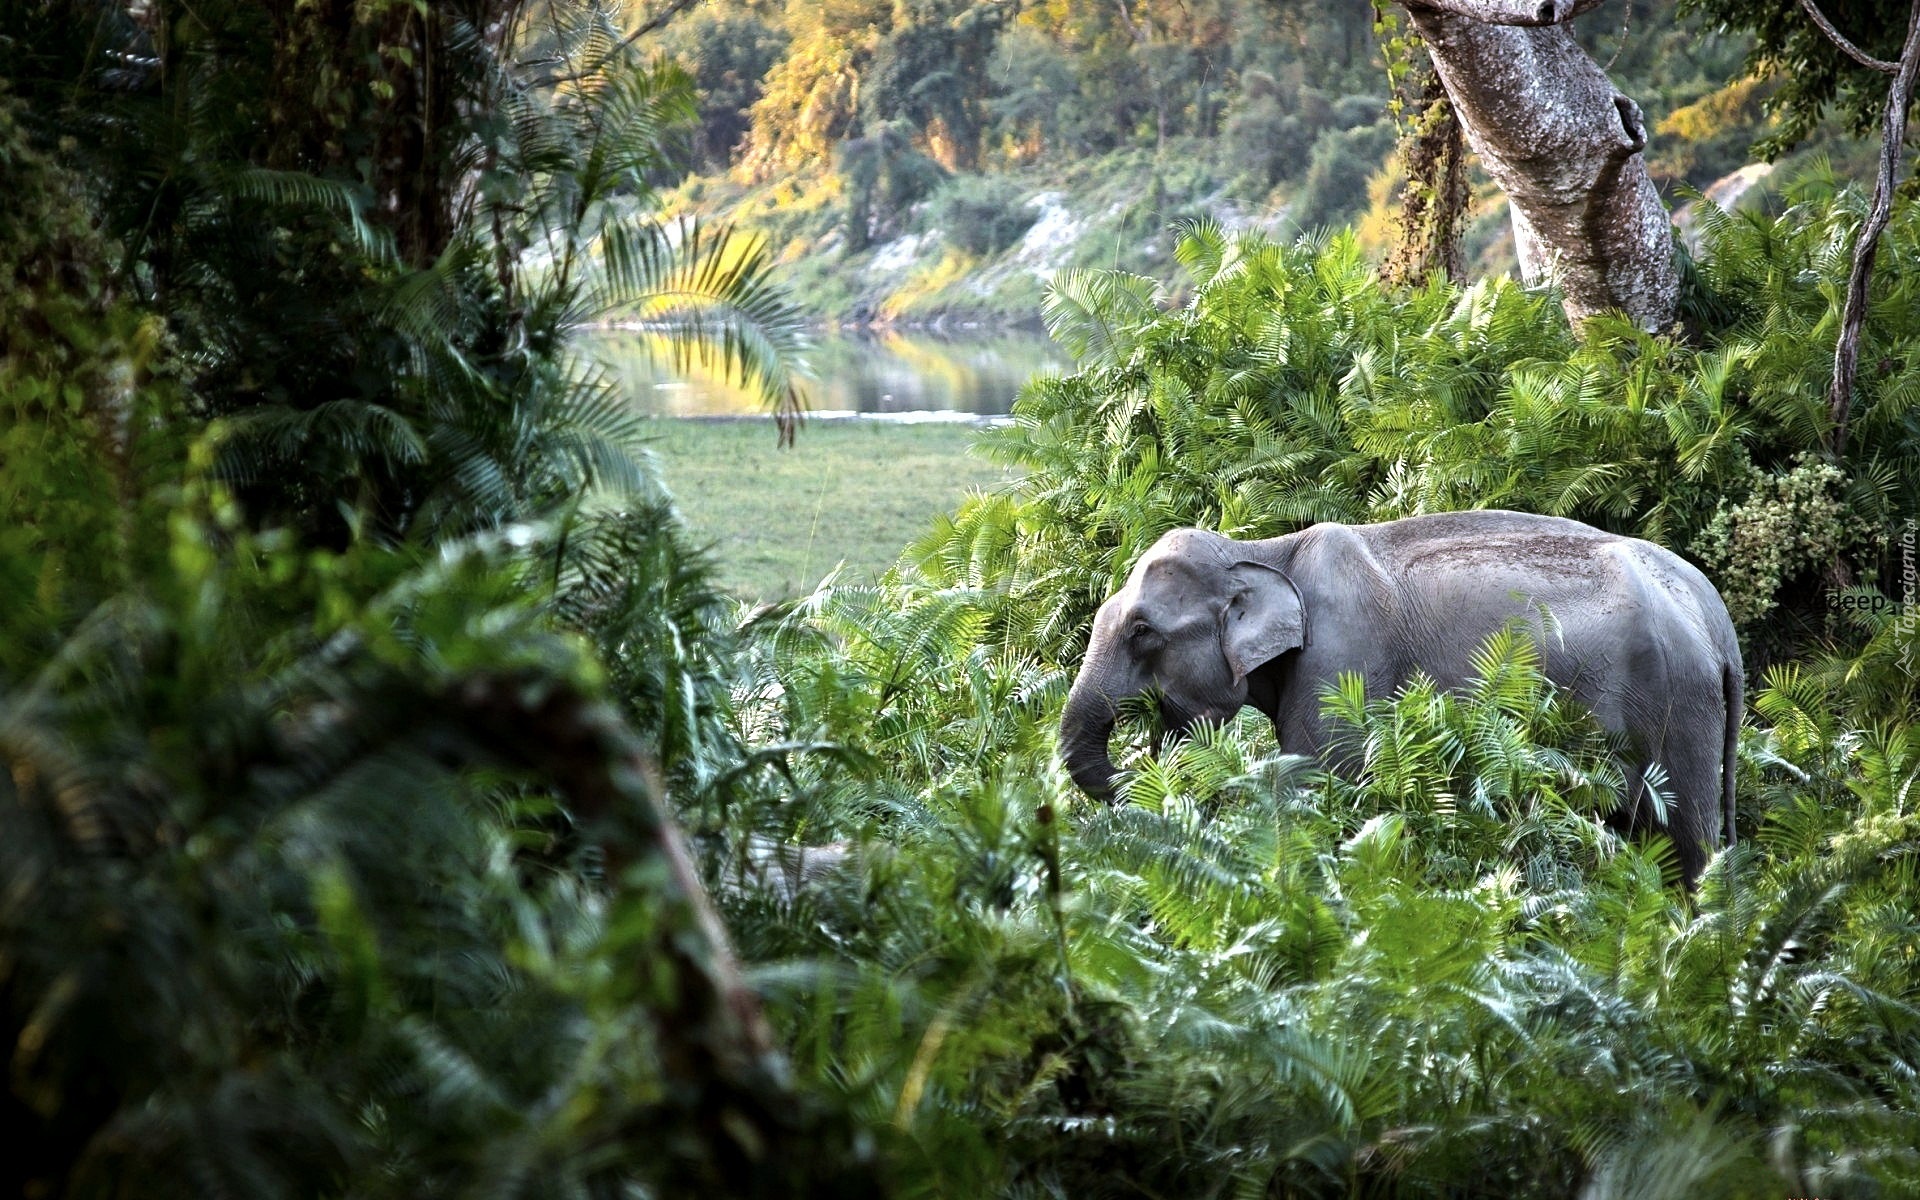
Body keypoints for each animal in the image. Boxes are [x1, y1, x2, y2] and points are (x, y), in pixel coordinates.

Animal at [1059, 510, 1751, 883]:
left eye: (1142, 631)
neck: (1260, 549)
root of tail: (1717, 621)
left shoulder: (1343, 662)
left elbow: (1319, 789)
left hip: (1678, 708)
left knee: (1686, 845)